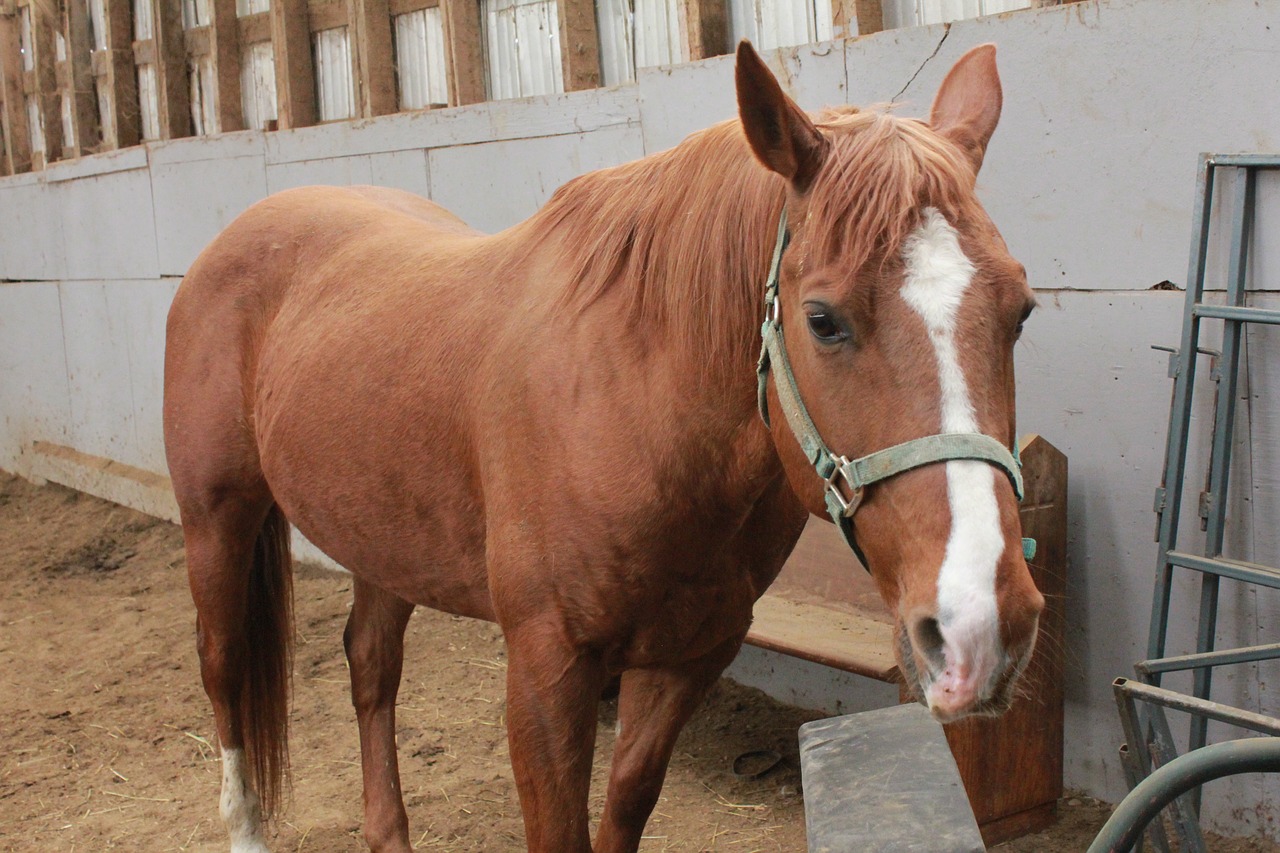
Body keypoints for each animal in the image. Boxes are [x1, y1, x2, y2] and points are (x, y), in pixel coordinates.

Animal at [162, 39, 1039, 850]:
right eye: (823, 319)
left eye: (1021, 309)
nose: (983, 623)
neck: (636, 402)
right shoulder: (547, 669)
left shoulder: (688, 656)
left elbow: (623, 807)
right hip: (217, 521)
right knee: (224, 668)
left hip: (383, 536)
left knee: (370, 665)